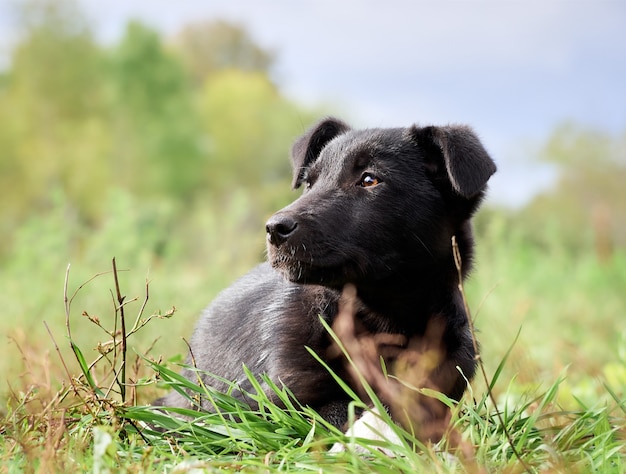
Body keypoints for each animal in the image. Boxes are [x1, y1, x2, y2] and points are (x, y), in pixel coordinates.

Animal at [157, 117, 498, 434]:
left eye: (370, 180)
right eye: (309, 183)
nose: (274, 228)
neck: (381, 321)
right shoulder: (262, 404)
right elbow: (335, 410)